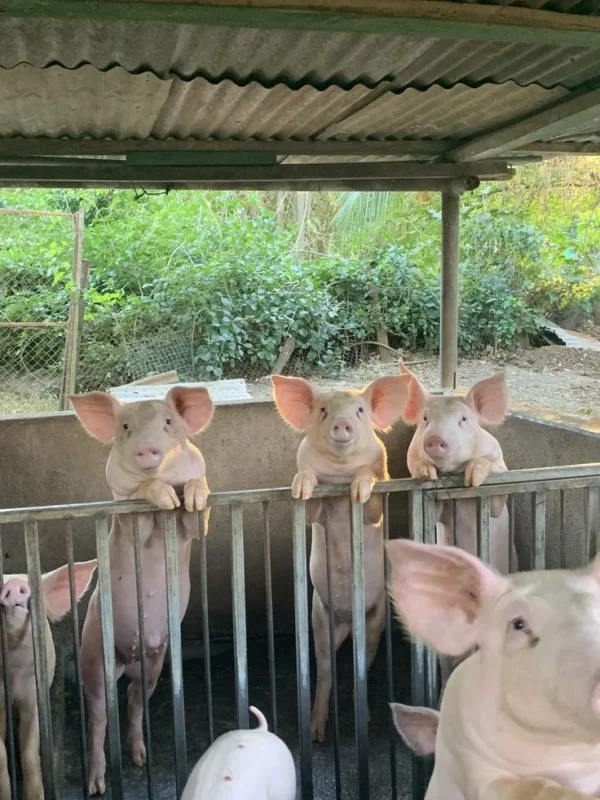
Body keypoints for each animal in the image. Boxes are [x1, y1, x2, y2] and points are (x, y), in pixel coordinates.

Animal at [69, 386, 213, 795]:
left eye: (168, 422)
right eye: (125, 428)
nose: (148, 449)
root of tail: (127, 660)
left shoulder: (193, 529)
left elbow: (197, 518)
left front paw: (191, 497)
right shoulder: (124, 515)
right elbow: (143, 507)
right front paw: (164, 497)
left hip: (155, 662)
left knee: (135, 701)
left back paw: (139, 758)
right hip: (93, 655)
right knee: (100, 715)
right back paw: (96, 785)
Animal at [271, 374, 410, 742]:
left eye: (360, 410)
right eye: (323, 410)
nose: (342, 422)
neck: (339, 474)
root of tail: (347, 620)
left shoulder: (380, 493)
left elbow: (371, 499)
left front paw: (359, 489)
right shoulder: (316, 512)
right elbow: (310, 504)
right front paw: (300, 487)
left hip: (375, 620)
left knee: (361, 666)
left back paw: (365, 719)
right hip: (319, 617)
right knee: (325, 672)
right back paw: (318, 733)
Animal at [399, 366, 516, 575]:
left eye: (463, 419)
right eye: (425, 418)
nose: (435, 438)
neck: (453, 471)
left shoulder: (499, 464)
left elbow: (496, 504)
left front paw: (473, 478)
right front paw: (426, 472)